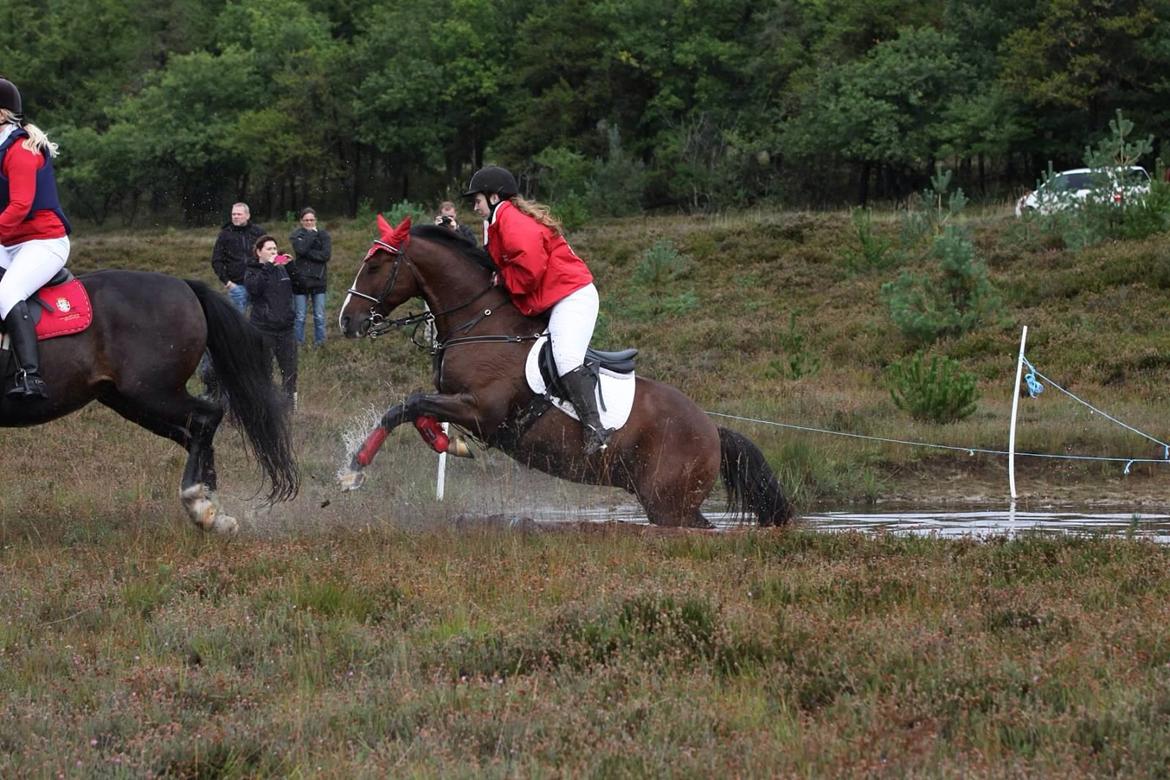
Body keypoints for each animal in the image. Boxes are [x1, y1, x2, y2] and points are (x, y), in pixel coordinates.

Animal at [339, 216, 790, 528]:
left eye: (375, 267)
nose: (347, 320)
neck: (479, 322)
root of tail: (713, 429)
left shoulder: (482, 411)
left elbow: (408, 405)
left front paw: (352, 471)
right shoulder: (459, 404)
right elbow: (411, 408)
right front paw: (443, 443)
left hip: (670, 504)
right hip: (669, 503)